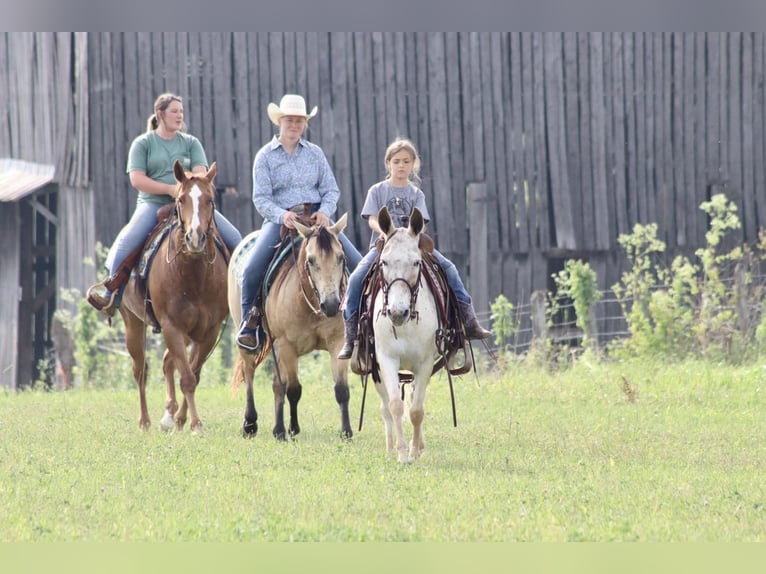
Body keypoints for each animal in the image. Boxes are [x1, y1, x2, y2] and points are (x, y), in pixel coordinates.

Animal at [115, 161, 228, 432]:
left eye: (210, 200)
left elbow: (194, 374)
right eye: (181, 199)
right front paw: (195, 424)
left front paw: (182, 419)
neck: (195, 278)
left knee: (167, 362)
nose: (195, 237)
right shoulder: (171, 326)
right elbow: (186, 377)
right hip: (133, 324)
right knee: (140, 370)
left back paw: (169, 416)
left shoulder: (208, 331)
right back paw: (145, 421)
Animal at [228, 215, 354, 440]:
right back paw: (251, 424)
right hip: (247, 338)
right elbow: (294, 390)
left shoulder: (338, 343)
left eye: (341, 257)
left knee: (277, 385)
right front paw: (291, 430)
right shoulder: (288, 346)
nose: (331, 304)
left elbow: (341, 390)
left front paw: (346, 432)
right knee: (250, 372)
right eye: (311, 260)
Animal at [374, 207, 440, 464]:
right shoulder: (386, 360)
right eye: (384, 261)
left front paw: (413, 451)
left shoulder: (425, 364)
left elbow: (416, 410)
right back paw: (390, 447)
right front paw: (402, 454)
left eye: (416, 262)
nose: (397, 312)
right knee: (386, 407)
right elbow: (395, 406)